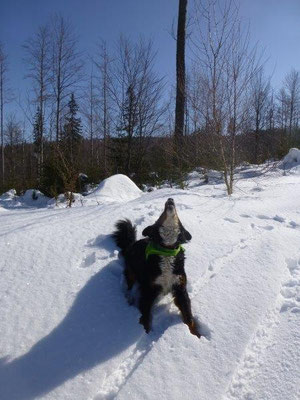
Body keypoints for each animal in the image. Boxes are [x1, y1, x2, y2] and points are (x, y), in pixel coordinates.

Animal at [111, 197, 200, 338]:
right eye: (160, 215)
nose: (170, 199)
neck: (167, 250)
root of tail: (132, 244)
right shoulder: (148, 290)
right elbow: (145, 319)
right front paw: (146, 335)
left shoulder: (180, 289)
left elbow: (189, 317)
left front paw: (196, 336)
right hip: (131, 273)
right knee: (129, 286)